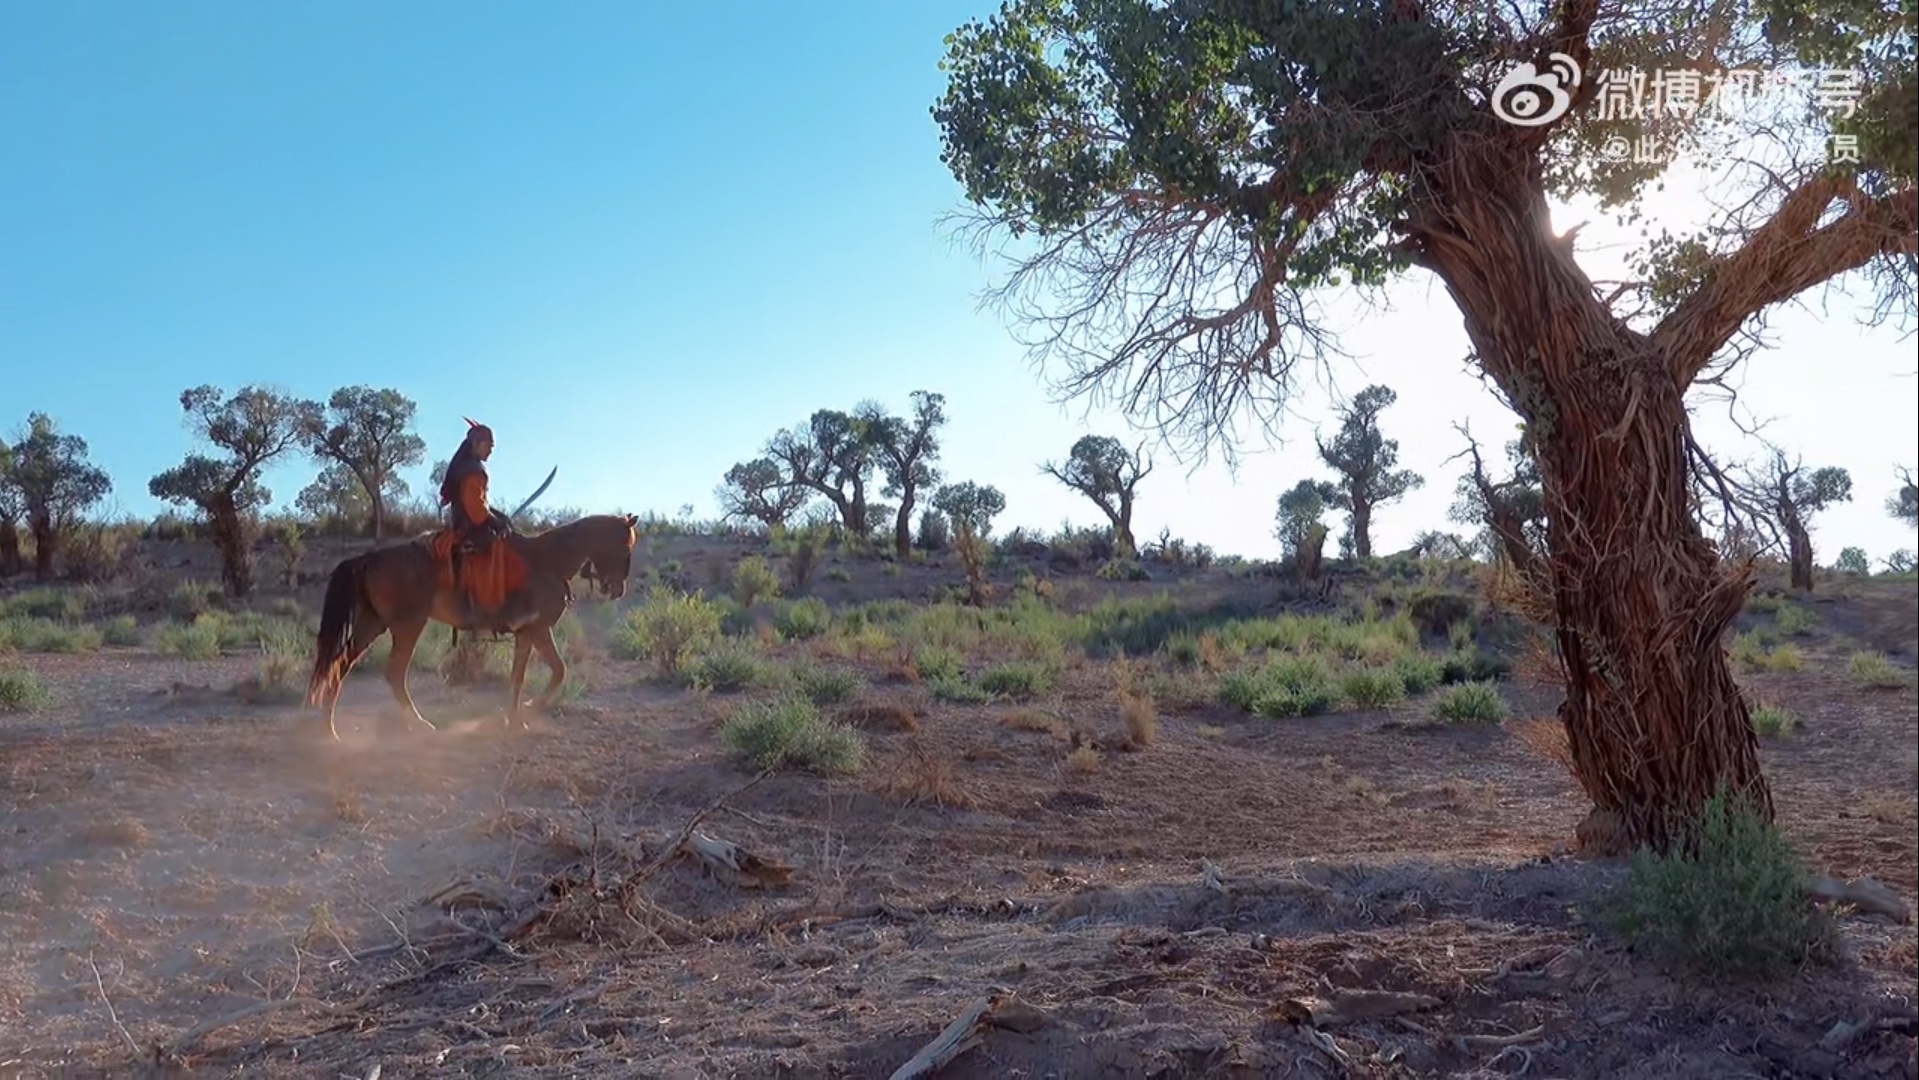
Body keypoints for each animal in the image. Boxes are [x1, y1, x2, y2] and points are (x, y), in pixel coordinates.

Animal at [304, 512, 639, 740]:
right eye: (625, 548)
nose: (617, 589)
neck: (547, 561)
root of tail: (367, 559)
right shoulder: (539, 630)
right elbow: (559, 671)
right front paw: (530, 708)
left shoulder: (526, 633)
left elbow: (519, 677)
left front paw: (515, 719)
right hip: (408, 625)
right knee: (394, 673)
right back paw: (418, 725)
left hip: (373, 624)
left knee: (340, 664)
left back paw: (328, 729)